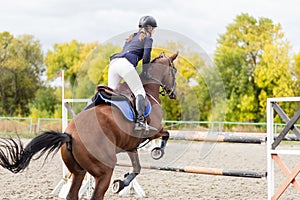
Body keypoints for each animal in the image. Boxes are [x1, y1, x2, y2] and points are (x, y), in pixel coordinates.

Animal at [0, 51, 178, 198]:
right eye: (174, 71)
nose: (174, 94)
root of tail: (69, 135)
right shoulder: (154, 130)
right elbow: (166, 134)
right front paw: (157, 152)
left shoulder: (131, 146)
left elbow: (137, 168)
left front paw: (122, 183)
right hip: (104, 171)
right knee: (95, 196)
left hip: (78, 171)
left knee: (72, 194)